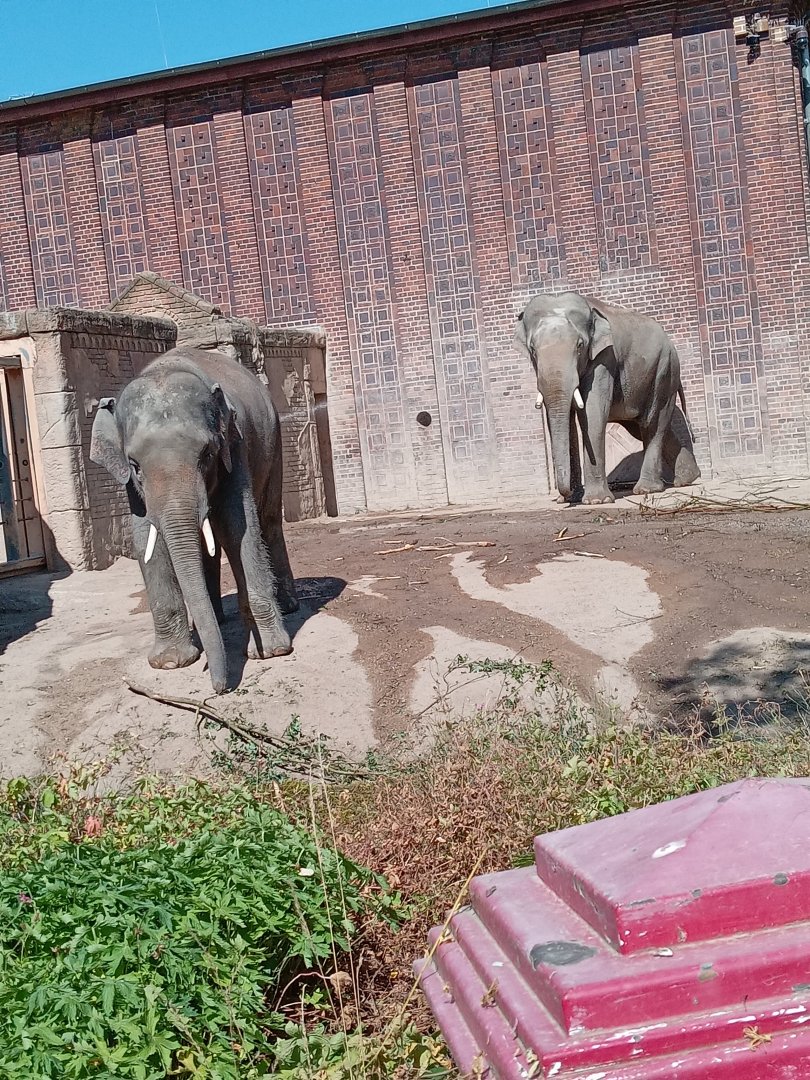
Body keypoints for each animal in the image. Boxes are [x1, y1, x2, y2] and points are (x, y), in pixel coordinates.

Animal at [90, 346, 298, 693]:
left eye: (207, 454)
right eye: (135, 465)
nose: (220, 688)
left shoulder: (235, 444)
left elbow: (238, 525)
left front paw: (269, 652)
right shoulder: (131, 486)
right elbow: (145, 537)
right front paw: (170, 662)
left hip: (274, 441)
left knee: (268, 520)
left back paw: (289, 606)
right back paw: (214, 618)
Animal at [514, 291, 700, 504]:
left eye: (580, 345)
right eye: (532, 349)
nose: (564, 496)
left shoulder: (604, 358)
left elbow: (593, 412)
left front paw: (596, 501)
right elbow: (563, 418)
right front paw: (573, 500)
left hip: (665, 372)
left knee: (653, 424)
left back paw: (647, 489)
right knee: (643, 427)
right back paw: (688, 478)